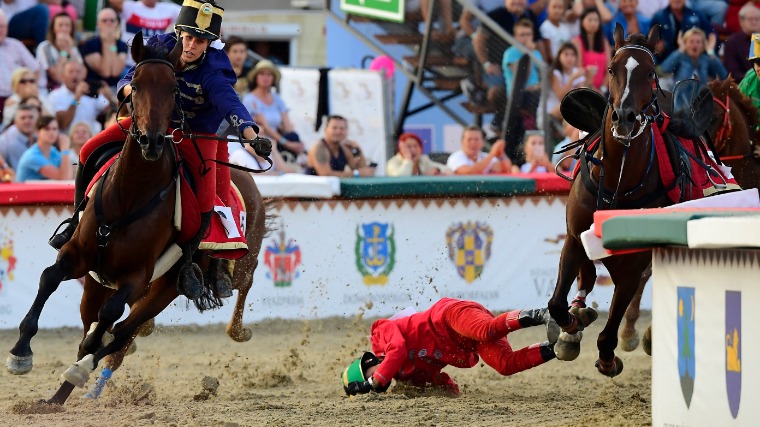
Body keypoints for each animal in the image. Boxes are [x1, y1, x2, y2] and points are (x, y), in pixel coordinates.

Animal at [5, 32, 270, 404]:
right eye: (138, 85)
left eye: (173, 89)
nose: (152, 140)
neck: (130, 195)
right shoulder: (78, 255)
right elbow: (49, 279)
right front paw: (20, 353)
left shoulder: (137, 276)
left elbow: (110, 323)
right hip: (102, 285)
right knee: (101, 329)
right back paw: (57, 398)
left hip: (172, 285)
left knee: (122, 331)